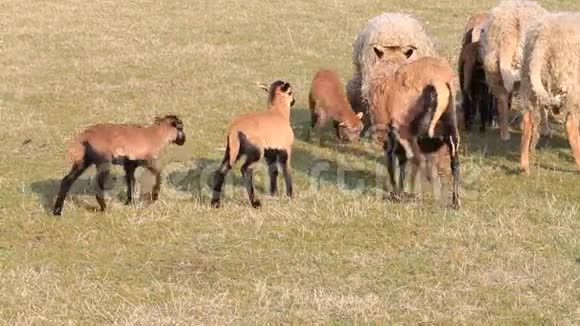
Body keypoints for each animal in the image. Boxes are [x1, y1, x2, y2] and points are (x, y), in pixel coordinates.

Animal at [53, 115, 186, 216]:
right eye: (180, 127)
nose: (183, 140)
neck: (156, 136)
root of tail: (84, 136)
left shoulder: (129, 164)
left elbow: (130, 181)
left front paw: (129, 202)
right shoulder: (146, 160)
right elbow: (158, 173)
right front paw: (154, 197)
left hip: (83, 161)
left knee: (67, 180)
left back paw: (57, 211)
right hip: (103, 161)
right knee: (96, 183)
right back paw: (104, 208)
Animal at [211, 81, 296, 209]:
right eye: (290, 92)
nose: (294, 101)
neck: (279, 112)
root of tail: (234, 130)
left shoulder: (270, 153)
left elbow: (273, 171)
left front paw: (274, 193)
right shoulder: (285, 150)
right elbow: (287, 171)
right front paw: (290, 195)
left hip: (233, 151)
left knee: (222, 170)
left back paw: (215, 203)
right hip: (256, 151)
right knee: (245, 169)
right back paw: (255, 203)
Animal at [520, 12, 580, 176]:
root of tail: (543, 37)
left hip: (529, 82)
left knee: (528, 120)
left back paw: (524, 166)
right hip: (572, 84)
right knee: (571, 125)